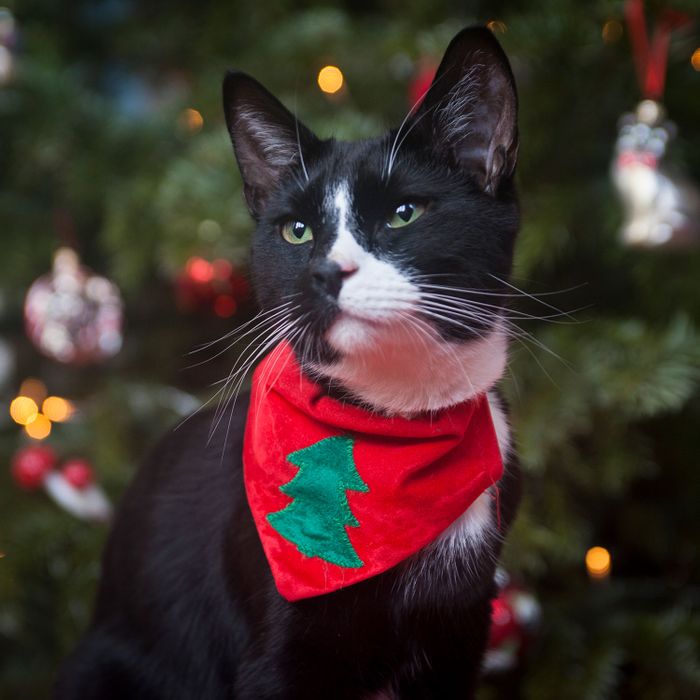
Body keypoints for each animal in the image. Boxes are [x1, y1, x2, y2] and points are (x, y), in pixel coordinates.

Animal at [54, 24, 524, 696]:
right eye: (296, 231)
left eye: (404, 213)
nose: (326, 271)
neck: (393, 418)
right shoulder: (277, 650)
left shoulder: (462, 630)